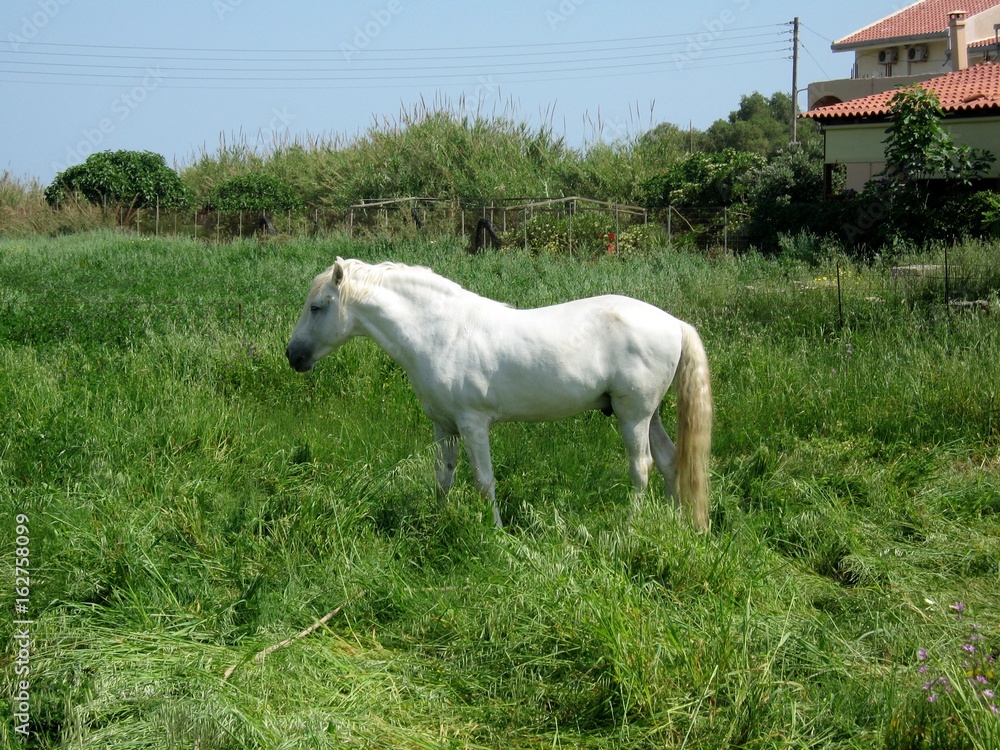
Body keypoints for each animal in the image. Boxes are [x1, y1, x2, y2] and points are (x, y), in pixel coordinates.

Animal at [285, 258, 713, 531]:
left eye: (317, 306)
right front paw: (439, 523)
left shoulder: (473, 423)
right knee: (670, 462)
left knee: (641, 468)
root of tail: (674, 322)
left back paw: (629, 528)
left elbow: (483, 480)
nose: (293, 355)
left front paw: (496, 533)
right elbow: (443, 477)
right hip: (649, 414)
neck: (441, 333)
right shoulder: (444, 426)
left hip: (633, 415)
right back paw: (673, 522)